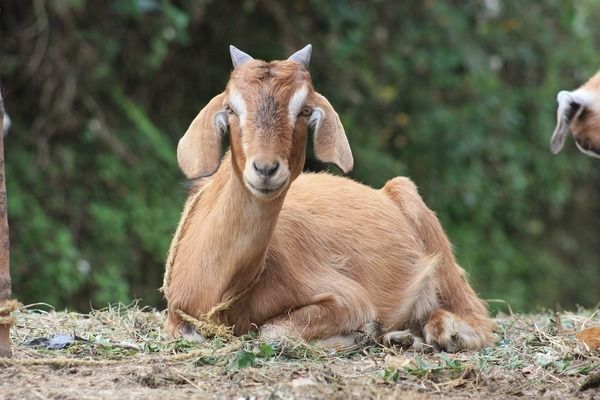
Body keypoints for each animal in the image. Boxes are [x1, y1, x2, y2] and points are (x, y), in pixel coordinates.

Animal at [162, 44, 494, 350]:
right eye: (231, 107)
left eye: (305, 110)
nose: (266, 169)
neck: (221, 287)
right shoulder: (177, 319)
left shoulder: (347, 296)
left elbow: (273, 331)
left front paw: (362, 332)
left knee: (475, 314)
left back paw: (443, 332)